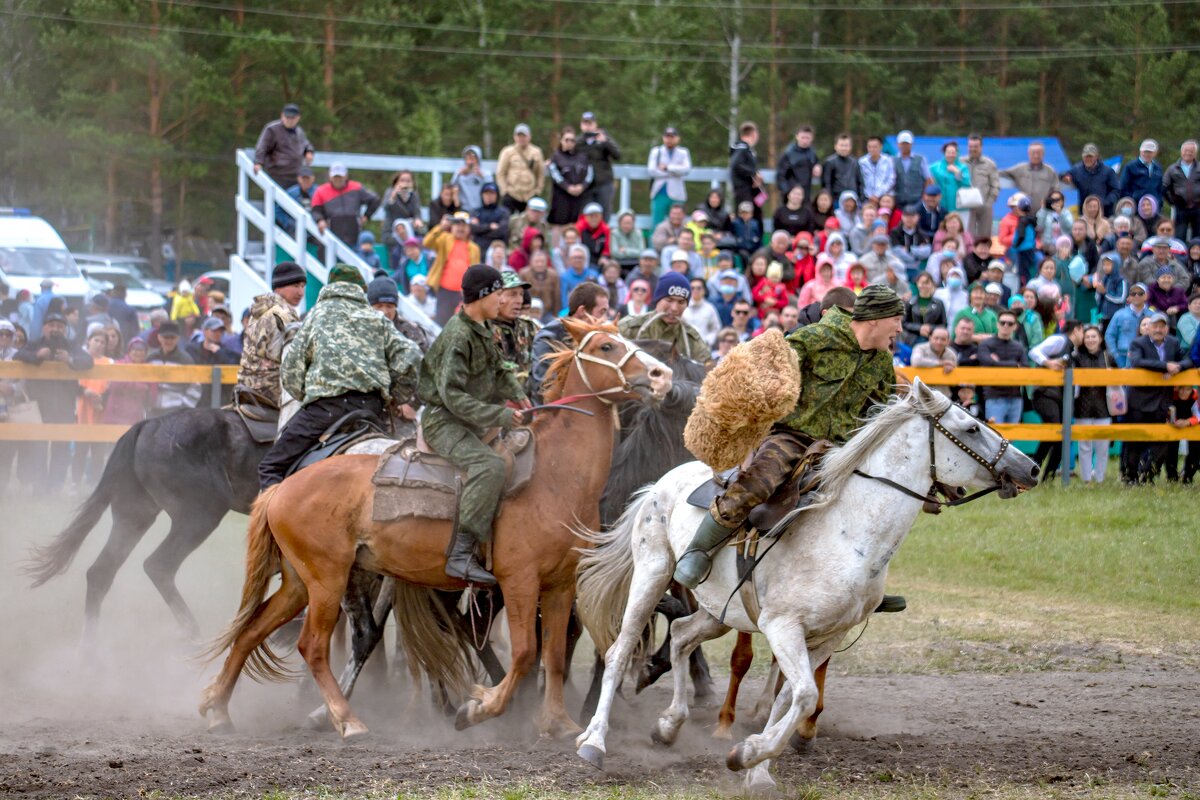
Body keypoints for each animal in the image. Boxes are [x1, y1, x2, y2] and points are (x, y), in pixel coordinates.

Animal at [27, 410, 267, 642]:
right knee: (159, 565)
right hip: (200, 515)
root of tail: (147, 425)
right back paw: (194, 635)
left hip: (134, 516)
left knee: (101, 572)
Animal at [206, 319, 676, 738]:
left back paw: (218, 710)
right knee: (314, 646)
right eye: (606, 347)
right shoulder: (519, 581)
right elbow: (526, 653)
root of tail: (282, 488)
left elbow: (555, 655)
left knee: (253, 630)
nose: (662, 376)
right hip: (327, 580)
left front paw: (557, 723)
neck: (554, 476)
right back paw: (347, 720)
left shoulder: (560, 586)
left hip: (301, 582)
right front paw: (478, 708)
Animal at [573, 381, 1041, 796]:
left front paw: (756, 770)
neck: (848, 532)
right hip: (652, 574)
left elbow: (789, 699)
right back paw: (593, 742)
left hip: (719, 611)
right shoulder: (783, 628)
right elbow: (802, 694)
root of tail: (661, 482)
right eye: (971, 428)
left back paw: (669, 725)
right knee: (619, 651)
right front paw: (747, 754)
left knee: (683, 635)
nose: (1031, 468)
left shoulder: (826, 637)